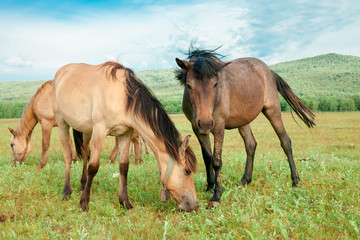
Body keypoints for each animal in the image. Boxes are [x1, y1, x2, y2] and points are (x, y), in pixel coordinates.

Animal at [52, 61, 197, 211]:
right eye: (187, 171)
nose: (192, 204)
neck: (121, 97)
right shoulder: (99, 131)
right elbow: (93, 167)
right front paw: (84, 202)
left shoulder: (125, 133)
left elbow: (123, 166)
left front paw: (124, 201)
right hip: (62, 124)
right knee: (68, 156)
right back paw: (66, 191)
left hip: (87, 131)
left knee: (86, 154)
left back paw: (82, 184)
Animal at [175, 47, 316, 208]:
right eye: (189, 85)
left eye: (215, 84)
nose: (205, 123)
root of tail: (269, 71)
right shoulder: (197, 129)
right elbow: (207, 158)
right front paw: (209, 187)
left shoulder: (218, 127)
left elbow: (217, 161)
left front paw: (217, 195)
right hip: (243, 121)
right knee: (251, 144)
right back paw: (245, 180)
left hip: (272, 111)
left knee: (285, 142)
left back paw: (295, 180)